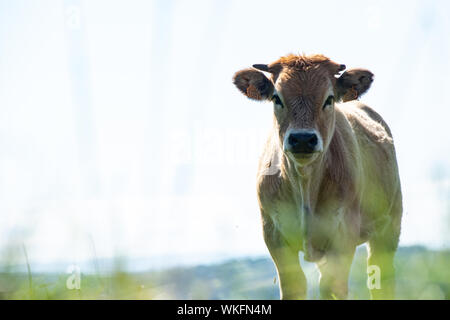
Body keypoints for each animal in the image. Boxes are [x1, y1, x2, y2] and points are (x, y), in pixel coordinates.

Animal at [234, 53, 402, 300]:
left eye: (329, 99)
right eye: (276, 98)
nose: (303, 139)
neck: (305, 184)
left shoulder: (343, 235)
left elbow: (334, 288)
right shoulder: (274, 235)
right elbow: (296, 286)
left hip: (389, 228)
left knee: (381, 279)